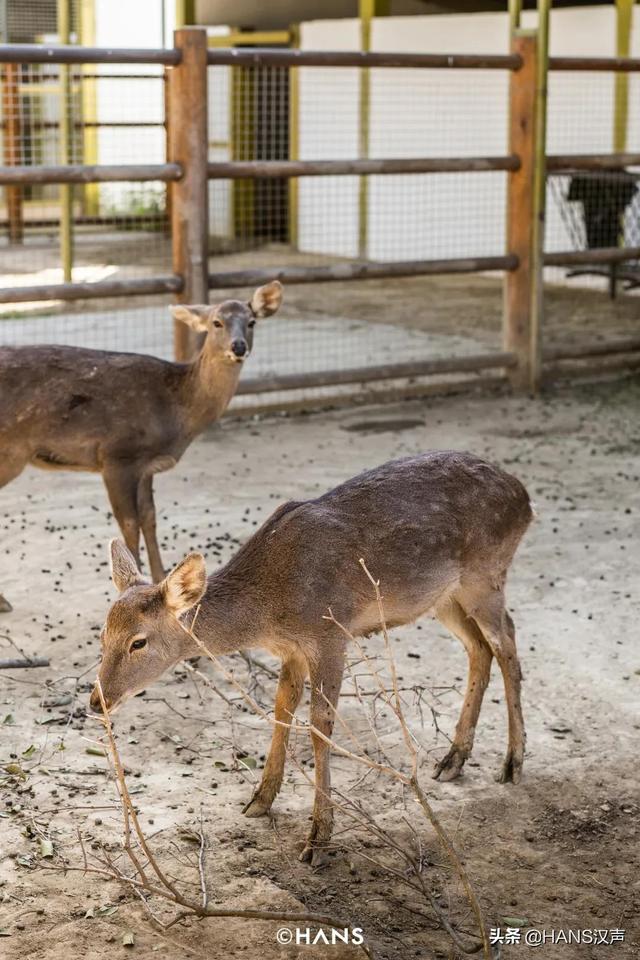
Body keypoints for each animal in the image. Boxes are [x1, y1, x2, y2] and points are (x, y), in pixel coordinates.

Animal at [0, 280, 282, 616]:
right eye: (217, 322)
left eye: (251, 322)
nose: (238, 346)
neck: (176, 410)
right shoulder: (117, 455)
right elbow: (129, 523)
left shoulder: (147, 466)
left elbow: (149, 516)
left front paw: (161, 579)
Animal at [89, 454, 528, 868]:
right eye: (103, 635)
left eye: (138, 642)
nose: (97, 701)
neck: (270, 610)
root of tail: (523, 499)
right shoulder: (292, 649)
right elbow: (282, 709)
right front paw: (260, 799)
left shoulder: (330, 635)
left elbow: (320, 726)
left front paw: (319, 839)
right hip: (444, 596)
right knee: (479, 648)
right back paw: (453, 759)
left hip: (485, 574)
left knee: (507, 642)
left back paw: (512, 762)